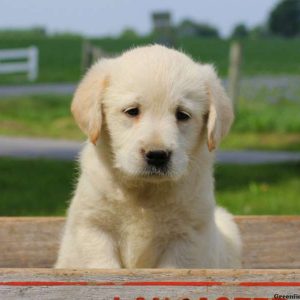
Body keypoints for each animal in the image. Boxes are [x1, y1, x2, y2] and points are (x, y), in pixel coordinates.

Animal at [55, 44, 241, 268]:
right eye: (132, 111)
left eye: (183, 115)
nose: (157, 155)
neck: (145, 191)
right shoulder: (93, 226)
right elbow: (103, 265)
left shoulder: (187, 237)